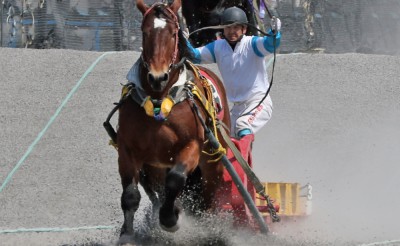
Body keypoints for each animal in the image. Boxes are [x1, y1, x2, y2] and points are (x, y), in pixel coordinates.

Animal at [115, 0, 230, 238]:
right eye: (144, 31)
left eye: (173, 33)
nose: (157, 77)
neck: (159, 99)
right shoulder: (128, 150)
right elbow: (130, 195)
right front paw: (127, 235)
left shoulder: (191, 146)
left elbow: (176, 179)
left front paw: (170, 218)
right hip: (156, 166)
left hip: (213, 163)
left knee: (207, 198)